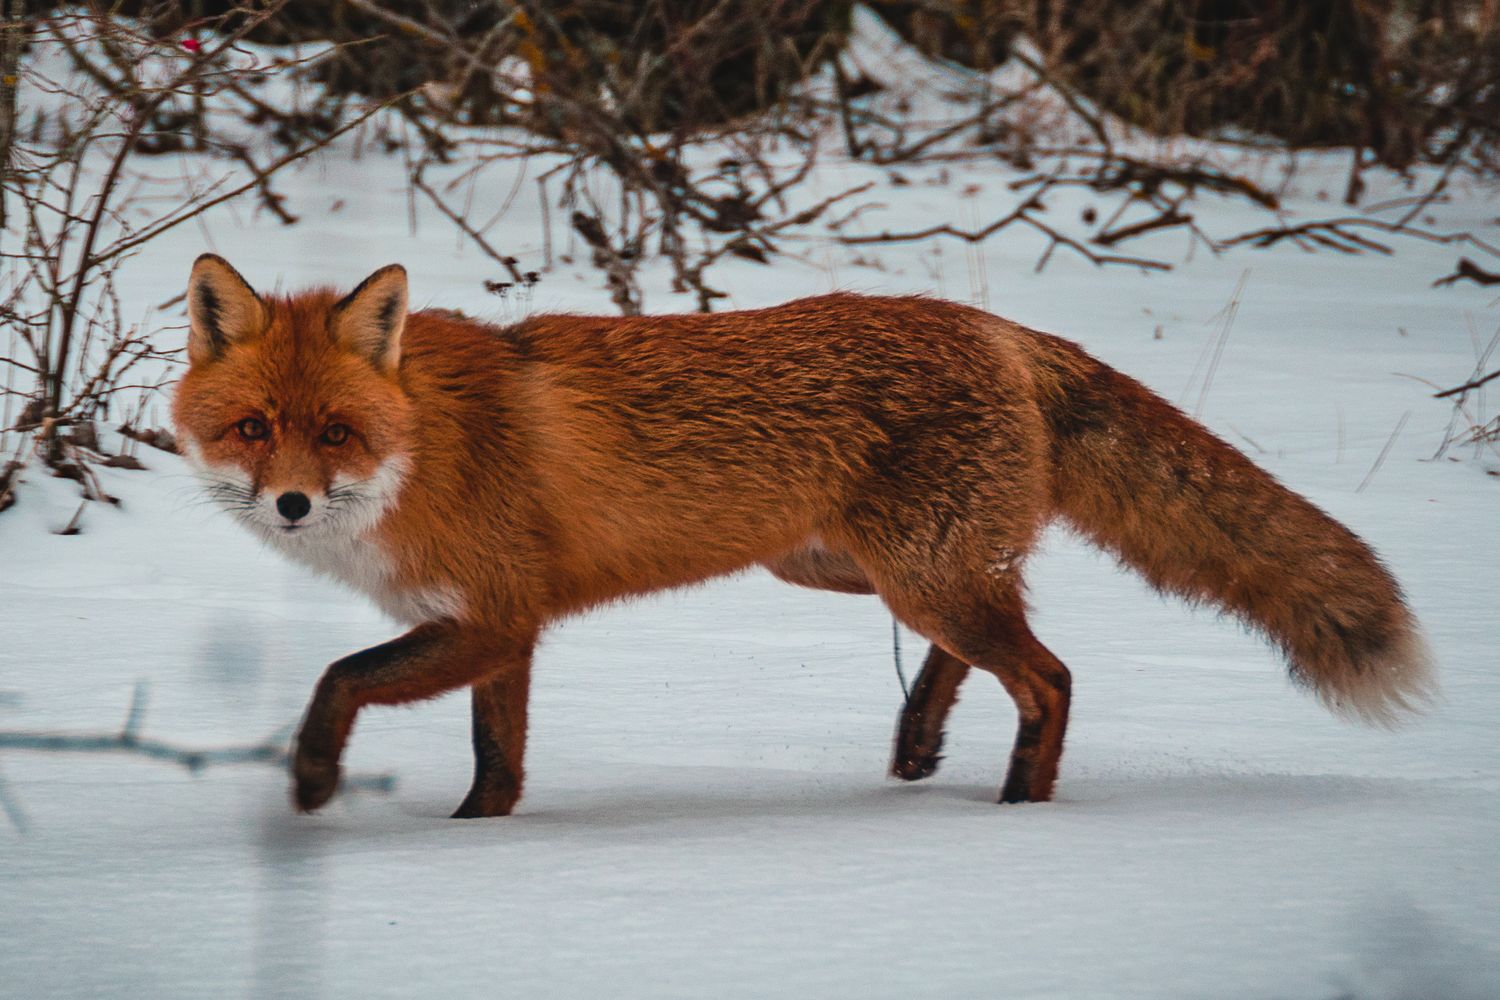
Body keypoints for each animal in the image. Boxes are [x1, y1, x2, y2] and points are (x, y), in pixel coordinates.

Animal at [170, 254, 1434, 815]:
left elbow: (338, 678)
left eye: (335, 431)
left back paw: (1020, 811)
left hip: (908, 571)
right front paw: (479, 837)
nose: (289, 504)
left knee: (1052, 675)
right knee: (993, 641)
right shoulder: (502, 631)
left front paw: (314, 779)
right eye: (253, 428)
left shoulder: (490, 616)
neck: (424, 444)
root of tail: (997, 326)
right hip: (852, 566)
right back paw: (920, 743)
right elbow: (499, 762)